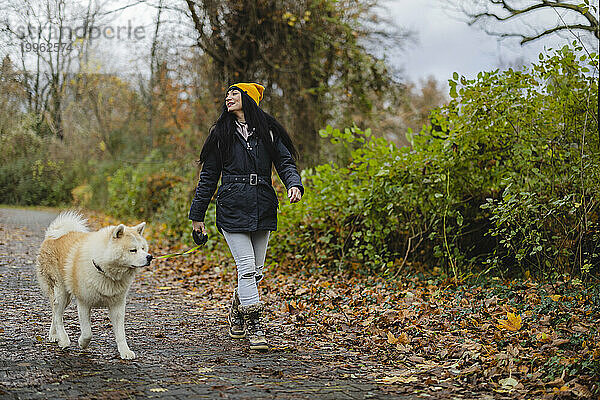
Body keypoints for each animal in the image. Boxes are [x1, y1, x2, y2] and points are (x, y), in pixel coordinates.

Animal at [36, 211, 152, 360]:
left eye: (143, 248)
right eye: (133, 250)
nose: (149, 257)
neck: (103, 268)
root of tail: (52, 236)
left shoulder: (118, 306)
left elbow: (121, 334)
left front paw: (125, 351)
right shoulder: (84, 303)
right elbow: (87, 332)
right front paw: (82, 343)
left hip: (66, 297)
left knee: (55, 314)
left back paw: (54, 335)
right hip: (61, 292)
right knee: (57, 315)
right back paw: (64, 340)